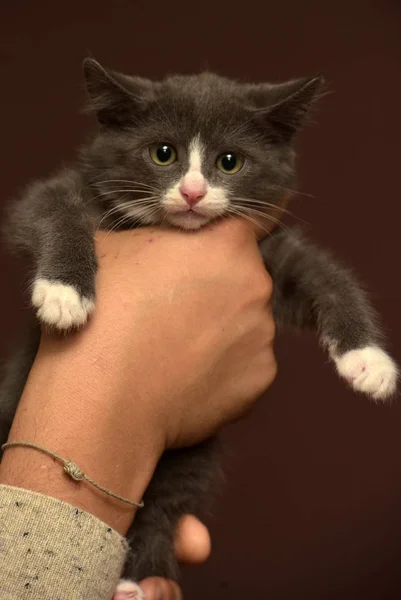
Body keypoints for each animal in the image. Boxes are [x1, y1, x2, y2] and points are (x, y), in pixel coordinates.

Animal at [0, 58, 396, 596]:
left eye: (229, 162)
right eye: (162, 153)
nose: (192, 192)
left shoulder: (269, 254)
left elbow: (326, 276)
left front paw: (369, 361)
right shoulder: (58, 193)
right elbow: (52, 212)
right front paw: (65, 291)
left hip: (188, 459)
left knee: (162, 506)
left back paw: (136, 578)